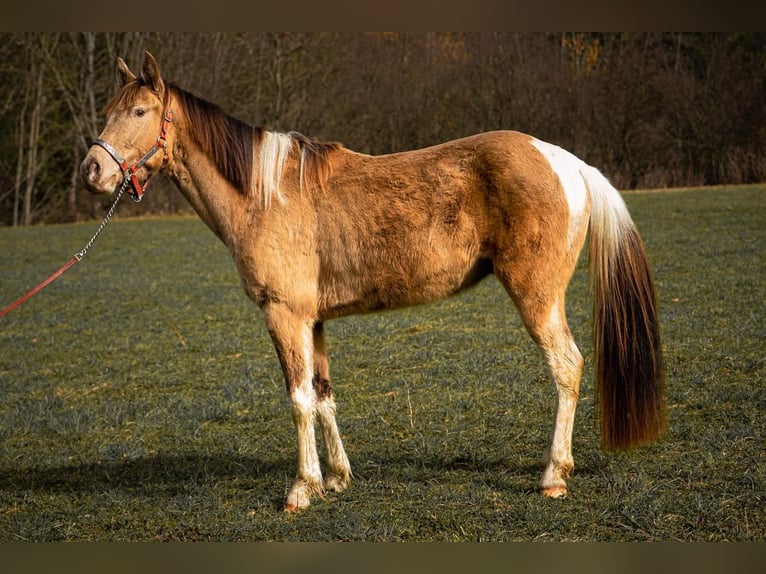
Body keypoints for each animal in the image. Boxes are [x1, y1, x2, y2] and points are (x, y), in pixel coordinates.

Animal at [80, 51, 665, 511]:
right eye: (108, 112)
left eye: (138, 112)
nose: (92, 171)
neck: (265, 194)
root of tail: (567, 162)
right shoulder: (312, 320)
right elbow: (323, 395)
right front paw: (336, 480)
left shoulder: (283, 315)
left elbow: (298, 399)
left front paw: (301, 490)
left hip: (537, 297)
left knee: (566, 367)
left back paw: (553, 476)